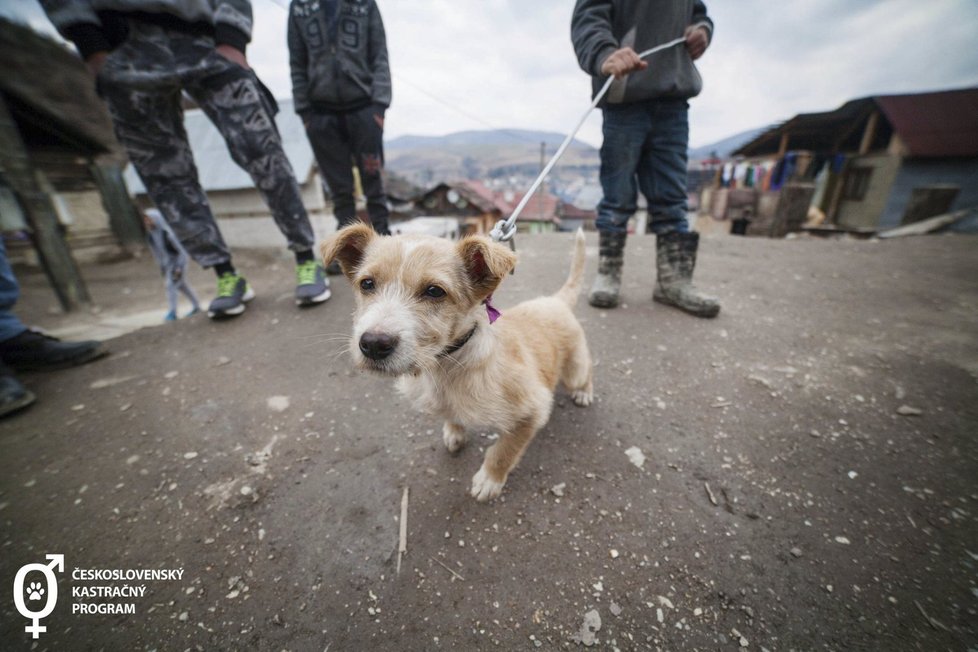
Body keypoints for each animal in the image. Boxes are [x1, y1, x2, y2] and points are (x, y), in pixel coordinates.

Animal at [324, 224, 592, 500]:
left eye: (434, 291)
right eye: (367, 283)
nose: (374, 344)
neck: (446, 364)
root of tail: (556, 300)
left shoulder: (533, 408)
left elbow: (503, 451)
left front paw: (490, 479)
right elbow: (452, 415)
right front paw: (454, 431)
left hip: (574, 371)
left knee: (585, 374)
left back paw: (584, 393)